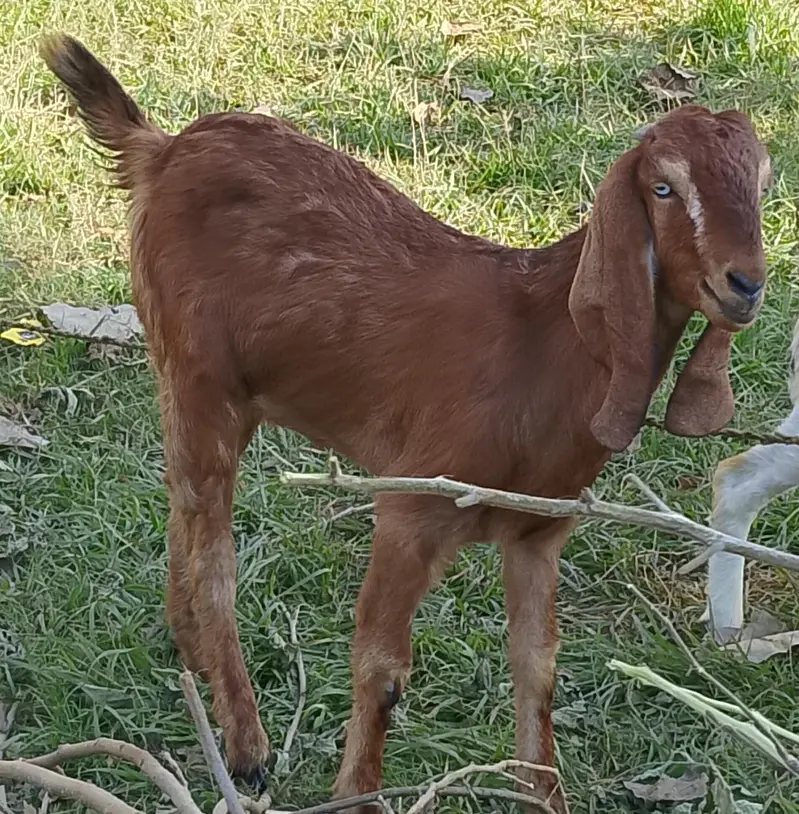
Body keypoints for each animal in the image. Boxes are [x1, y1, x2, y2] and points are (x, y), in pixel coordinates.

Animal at [41, 33, 772, 813]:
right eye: (664, 188)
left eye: (762, 185)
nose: (744, 284)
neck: (541, 342)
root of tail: (162, 148)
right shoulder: (411, 507)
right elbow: (382, 669)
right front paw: (356, 796)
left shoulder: (539, 530)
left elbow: (537, 666)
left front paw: (544, 795)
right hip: (198, 375)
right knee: (213, 542)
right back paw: (245, 744)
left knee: (181, 502)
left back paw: (189, 653)